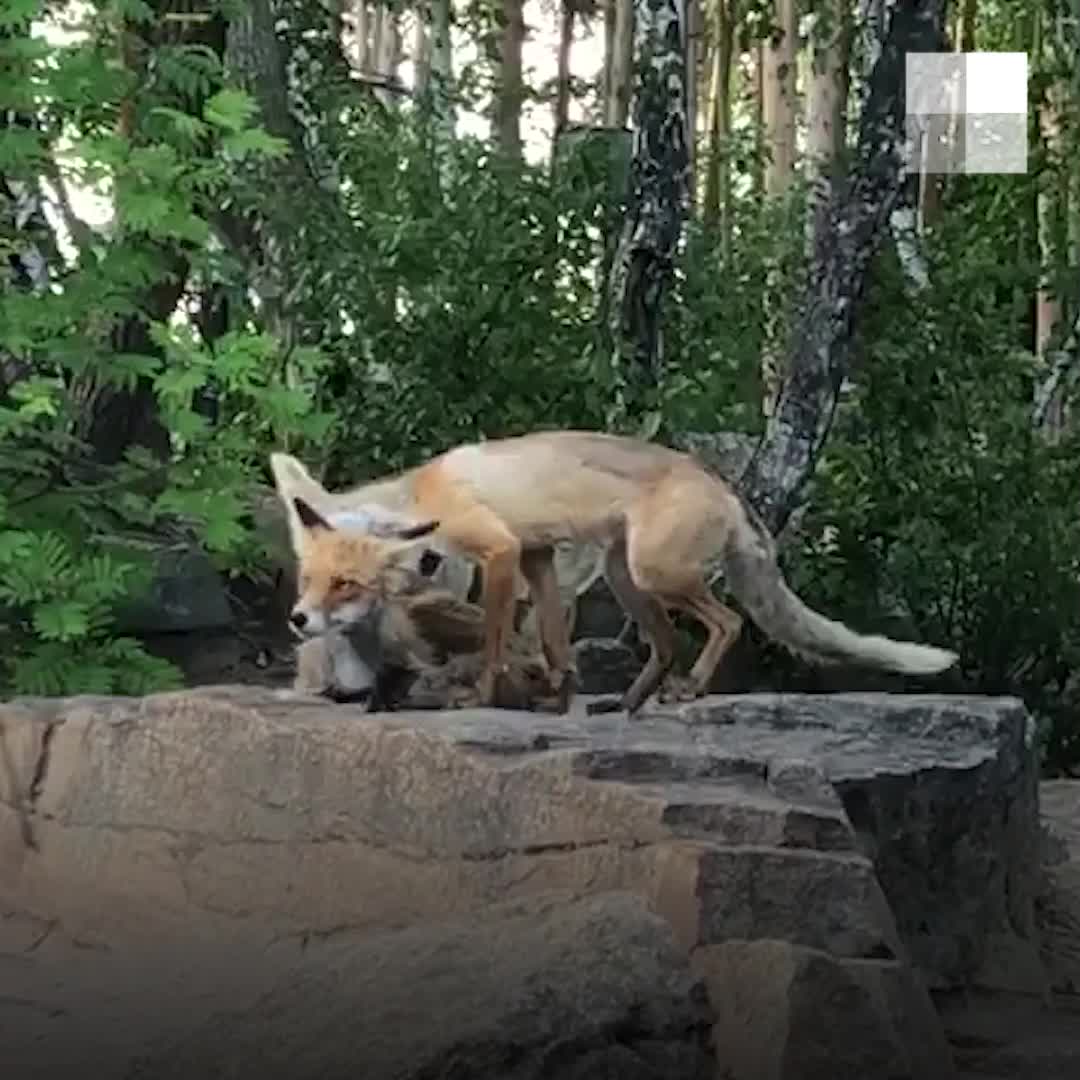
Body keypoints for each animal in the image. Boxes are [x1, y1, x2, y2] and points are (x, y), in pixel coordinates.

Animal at [272, 429, 963, 717]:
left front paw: (482, 696)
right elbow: (553, 645)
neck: (420, 495)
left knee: (727, 622)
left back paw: (688, 690)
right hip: (624, 576)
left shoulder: (500, 552)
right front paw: (559, 698)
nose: (298, 620)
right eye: (307, 580)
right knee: (666, 643)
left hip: (653, 574)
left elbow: (497, 643)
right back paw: (627, 703)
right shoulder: (536, 557)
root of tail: (724, 483)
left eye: (346, 585)